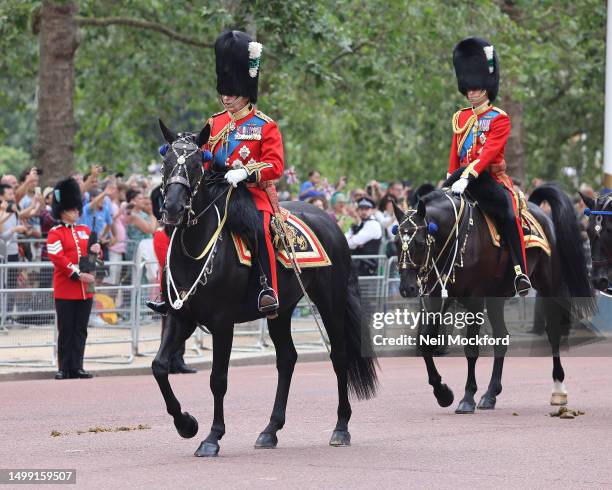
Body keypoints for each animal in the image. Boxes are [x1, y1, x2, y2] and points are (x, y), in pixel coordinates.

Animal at [151, 120, 376, 458]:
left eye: (196, 165)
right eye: (166, 163)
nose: (173, 209)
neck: (195, 248)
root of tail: (329, 220)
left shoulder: (222, 323)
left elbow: (218, 379)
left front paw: (212, 437)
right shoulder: (181, 317)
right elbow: (160, 366)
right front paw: (186, 424)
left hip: (330, 302)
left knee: (339, 356)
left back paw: (340, 427)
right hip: (281, 311)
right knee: (287, 359)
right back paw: (270, 430)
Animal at [394, 184, 596, 414]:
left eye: (419, 243)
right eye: (396, 242)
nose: (407, 287)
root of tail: (536, 208)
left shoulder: (475, 299)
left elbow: (471, 347)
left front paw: (467, 397)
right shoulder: (439, 296)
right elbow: (425, 342)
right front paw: (443, 393)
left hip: (548, 286)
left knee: (553, 332)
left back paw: (558, 389)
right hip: (496, 298)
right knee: (501, 337)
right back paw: (490, 394)